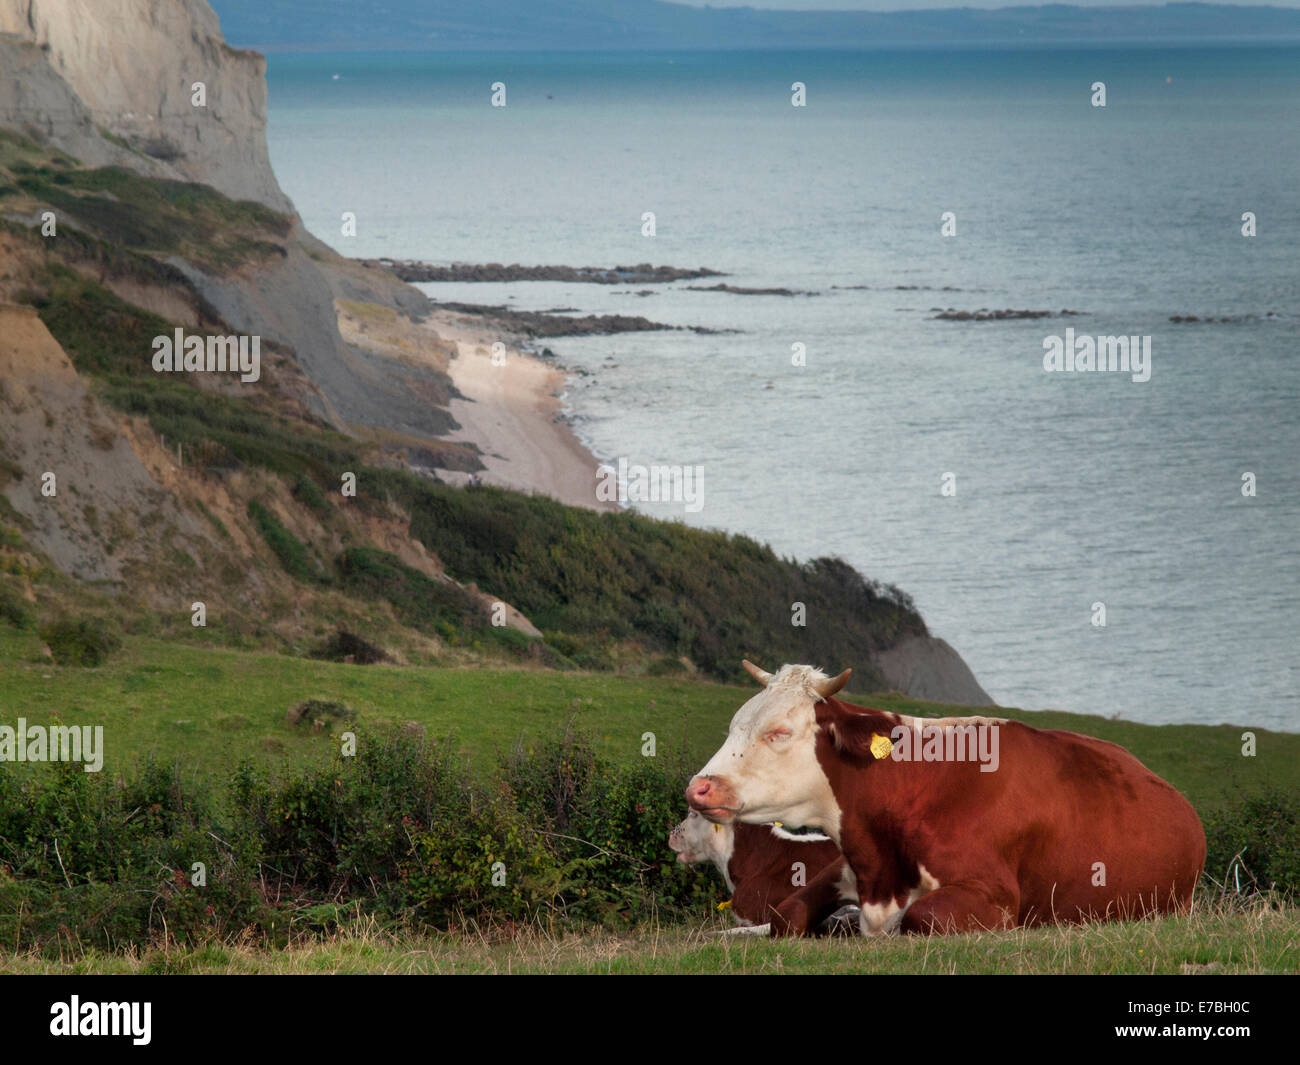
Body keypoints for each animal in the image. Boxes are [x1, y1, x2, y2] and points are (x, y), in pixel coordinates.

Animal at [686, 657, 1201, 931]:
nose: (698, 787)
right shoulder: (846, 866)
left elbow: (923, 917)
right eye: (735, 724)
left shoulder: (994, 896)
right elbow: (789, 912)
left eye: (779, 731)